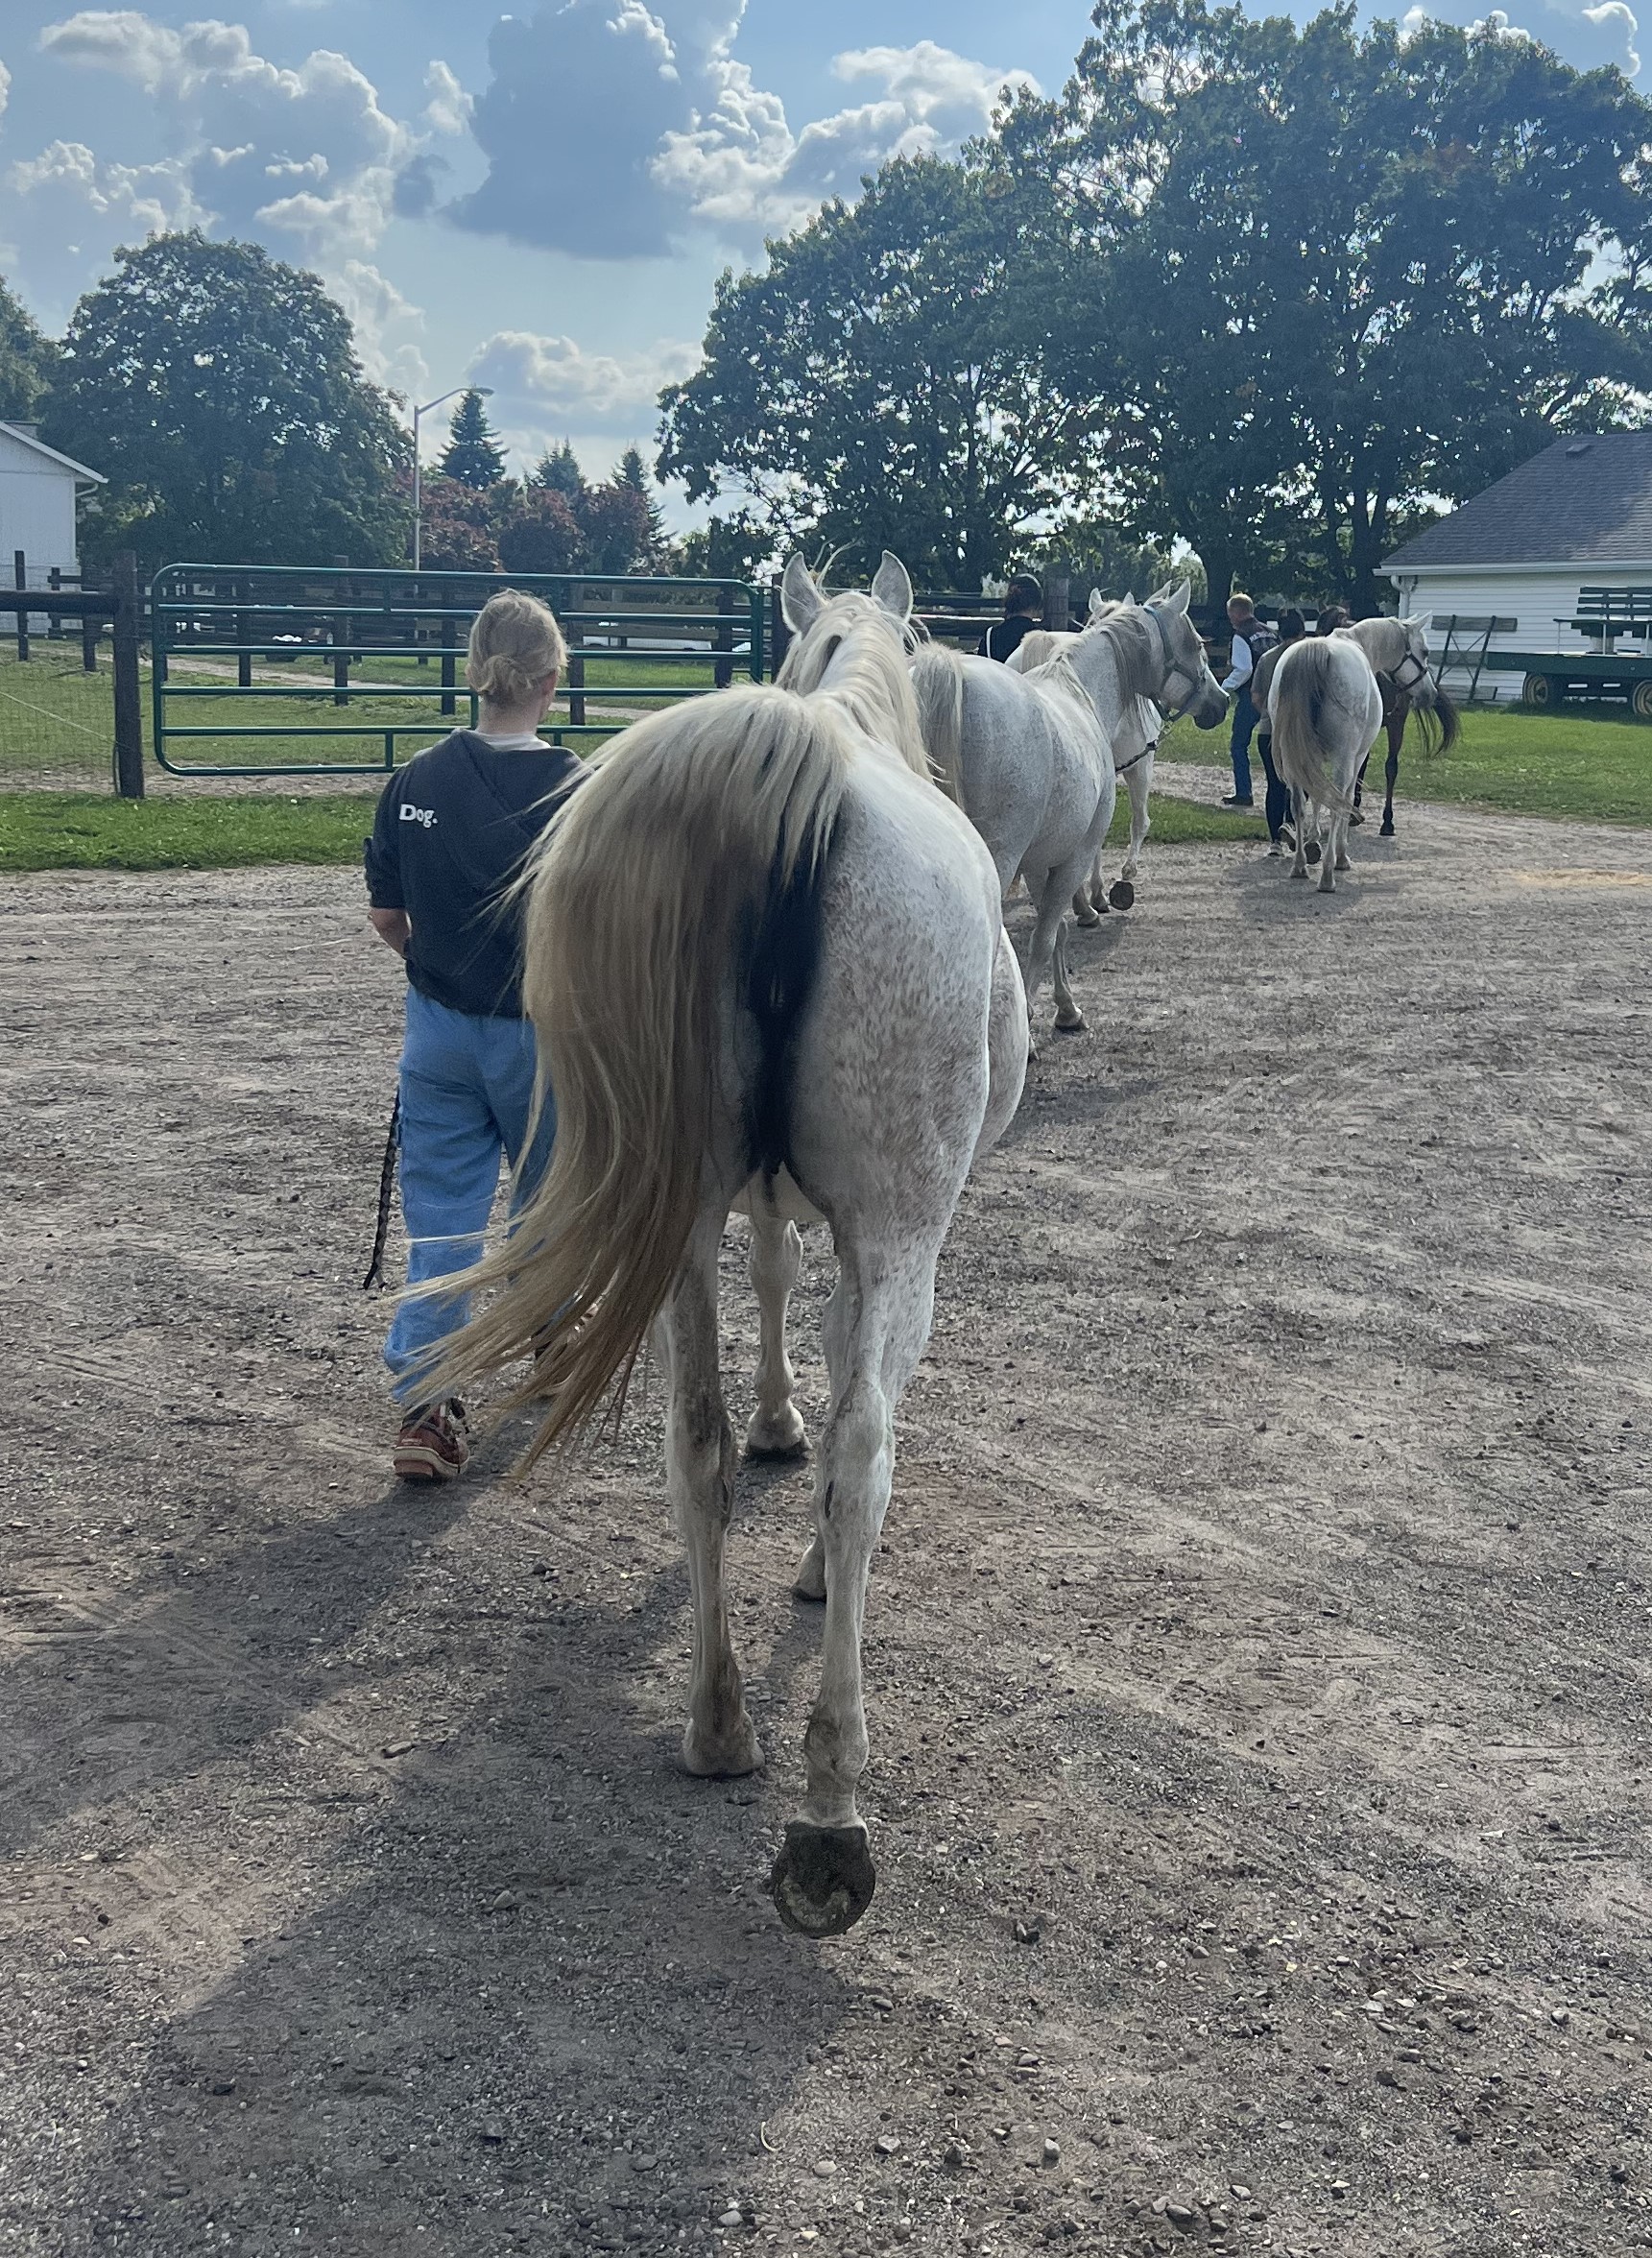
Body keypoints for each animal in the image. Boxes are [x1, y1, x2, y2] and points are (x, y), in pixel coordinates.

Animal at [425, 551, 1029, 1941]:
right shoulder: (872, 1240)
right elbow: (845, 1392)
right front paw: (804, 1532)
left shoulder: (749, 1207)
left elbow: (766, 1306)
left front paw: (768, 1428)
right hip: (901, 1231)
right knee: (864, 1456)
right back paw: (828, 1815)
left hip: (682, 1223)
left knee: (689, 1441)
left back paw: (716, 1727)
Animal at [912, 585, 1225, 1034]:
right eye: (1198, 643)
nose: (1221, 701)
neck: (1082, 692)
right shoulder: (1073, 856)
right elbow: (1044, 937)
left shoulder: (1040, 861)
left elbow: (1055, 929)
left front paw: (1066, 1007)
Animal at [1267, 633, 1385, 892]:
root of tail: (1318, 648)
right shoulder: (1356, 758)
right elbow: (1345, 800)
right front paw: (1341, 856)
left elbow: (1316, 797)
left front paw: (1312, 842)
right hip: (1344, 759)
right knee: (1336, 805)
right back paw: (1328, 875)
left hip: (1294, 760)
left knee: (1298, 804)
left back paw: (1300, 866)